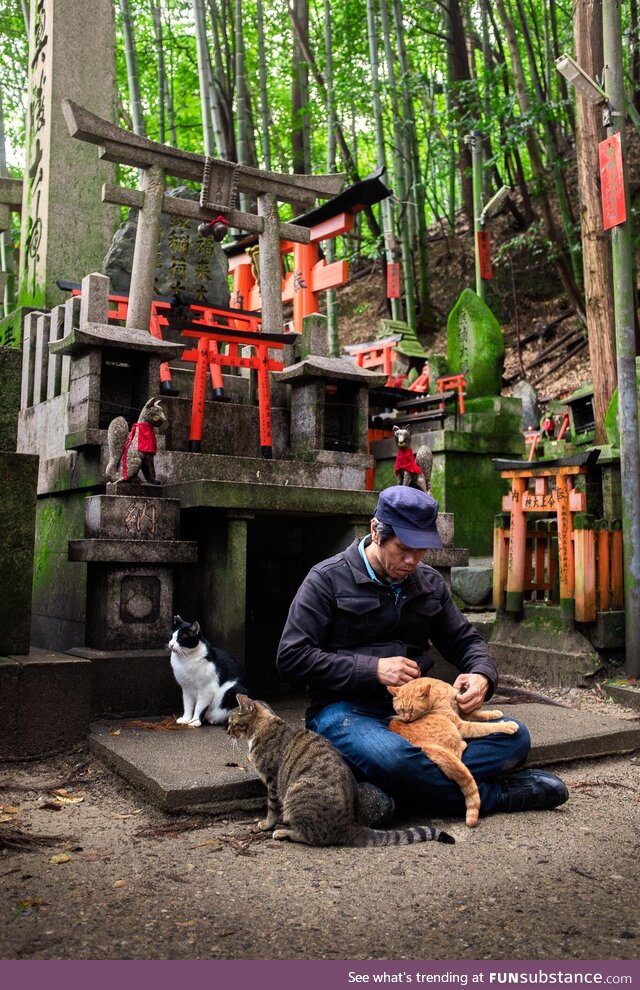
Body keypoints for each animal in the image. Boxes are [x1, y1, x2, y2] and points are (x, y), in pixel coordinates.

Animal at [226, 692, 456, 848]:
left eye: (231, 722)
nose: (226, 730)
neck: (264, 725)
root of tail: (349, 824)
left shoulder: (272, 779)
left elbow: (272, 807)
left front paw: (266, 824)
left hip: (297, 789)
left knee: (313, 837)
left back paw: (285, 832)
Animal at [384, 676, 520, 828]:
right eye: (400, 710)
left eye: (412, 710)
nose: (406, 719)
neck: (440, 694)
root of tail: (424, 745)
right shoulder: (461, 725)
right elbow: (482, 727)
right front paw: (506, 725)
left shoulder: (463, 711)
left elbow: (478, 714)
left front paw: (494, 713)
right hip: (450, 729)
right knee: (458, 755)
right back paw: (464, 743)